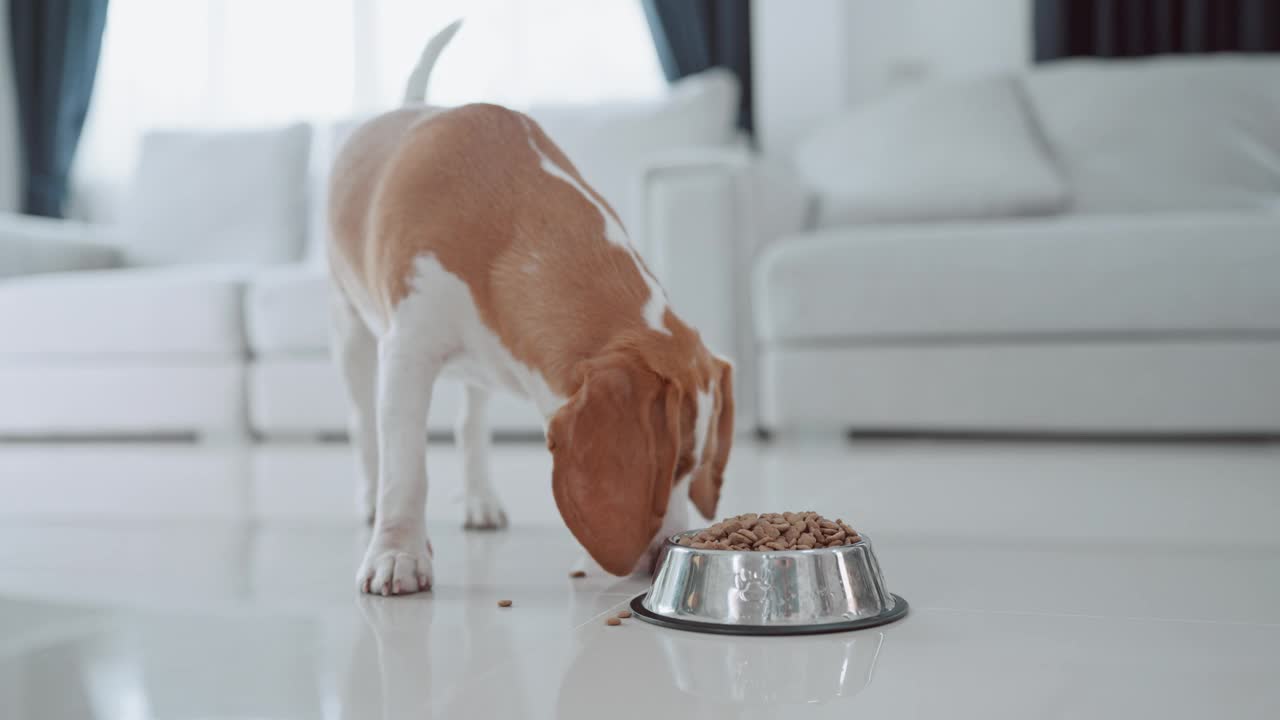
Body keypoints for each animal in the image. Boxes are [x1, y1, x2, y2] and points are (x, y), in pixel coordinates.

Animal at [325, 22, 737, 594]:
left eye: (694, 470)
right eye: (669, 466)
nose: (659, 558)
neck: (502, 222)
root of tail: (408, 106)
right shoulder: (406, 355)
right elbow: (405, 470)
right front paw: (396, 553)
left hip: (474, 371)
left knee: (470, 425)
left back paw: (479, 499)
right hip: (352, 335)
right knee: (364, 425)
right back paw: (369, 499)